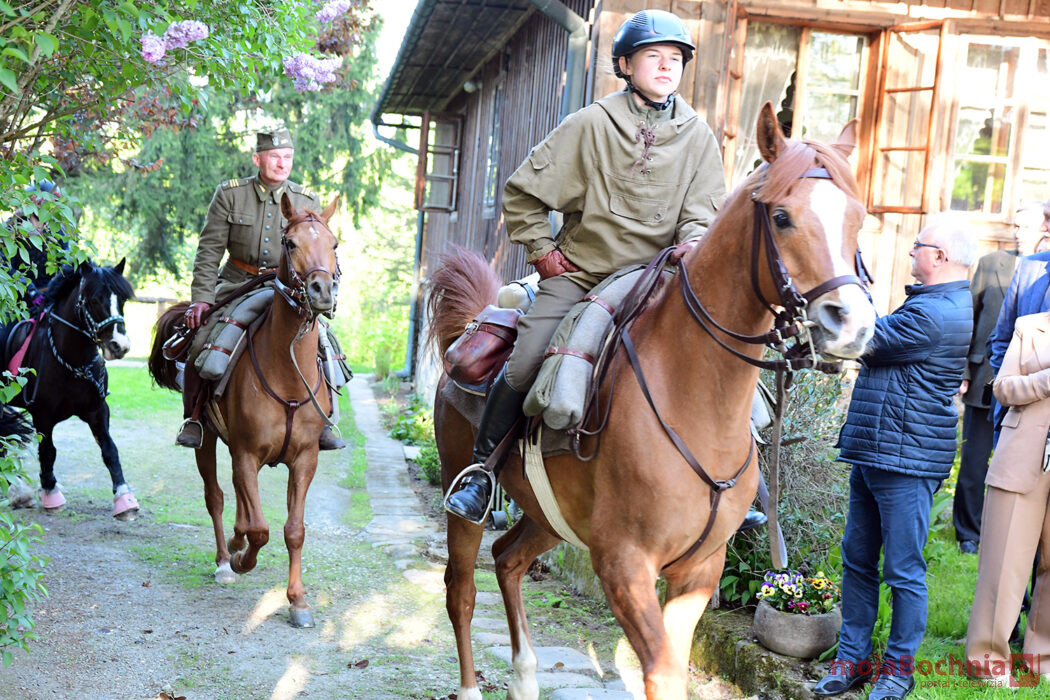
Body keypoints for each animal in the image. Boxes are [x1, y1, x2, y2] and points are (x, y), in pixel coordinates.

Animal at [1, 258, 139, 519]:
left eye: (123, 300)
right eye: (94, 299)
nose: (120, 346)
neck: (73, 361)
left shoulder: (97, 410)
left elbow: (110, 450)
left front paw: (124, 498)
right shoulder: (42, 415)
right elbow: (48, 451)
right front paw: (50, 492)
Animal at [148, 193, 340, 628]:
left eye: (334, 244)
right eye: (290, 242)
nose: (322, 290)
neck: (287, 372)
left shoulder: (305, 459)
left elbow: (293, 530)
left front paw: (298, 601)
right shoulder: (246, 453)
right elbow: (260, 529)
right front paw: (241, 559)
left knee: (236, 498)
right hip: (207, 442)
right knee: (217, 497)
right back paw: (225, 559)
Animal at [426, 103, 878, 700]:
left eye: (858, 219)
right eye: (781, 217)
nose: (851, 326)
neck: (693, 397)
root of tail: (476, 322)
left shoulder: (699, 571)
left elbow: (673, 668)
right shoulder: (624, 564)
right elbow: (660, 673)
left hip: (549, 517)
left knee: (507, 561)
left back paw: (524, 678)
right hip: (463, 498)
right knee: (461, 588)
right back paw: (473, 684)